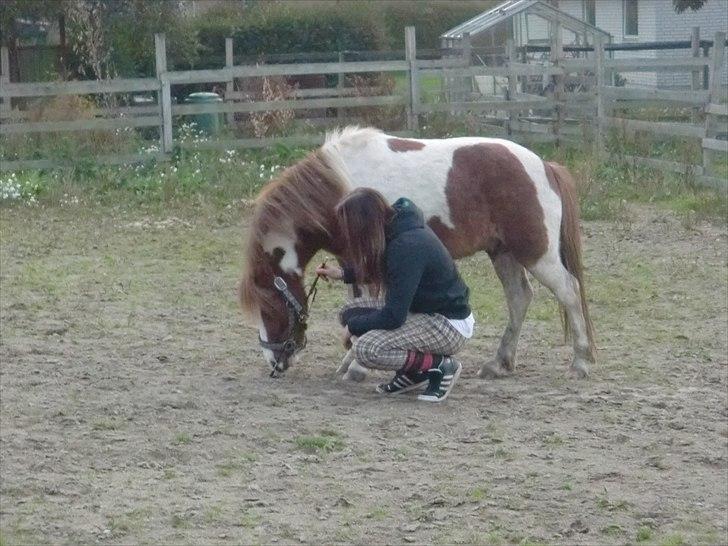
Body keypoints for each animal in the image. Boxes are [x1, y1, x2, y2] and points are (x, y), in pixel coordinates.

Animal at [242, 126, 596, 378]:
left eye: (269, 308)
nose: (274, 360)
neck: (335, 192)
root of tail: (545, 167)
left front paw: (356, 366)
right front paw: (348, 361)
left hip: (538, 254)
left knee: (568, 291)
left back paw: (580, 361)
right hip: (503, 253)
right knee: (520, 297)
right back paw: (499, 362)